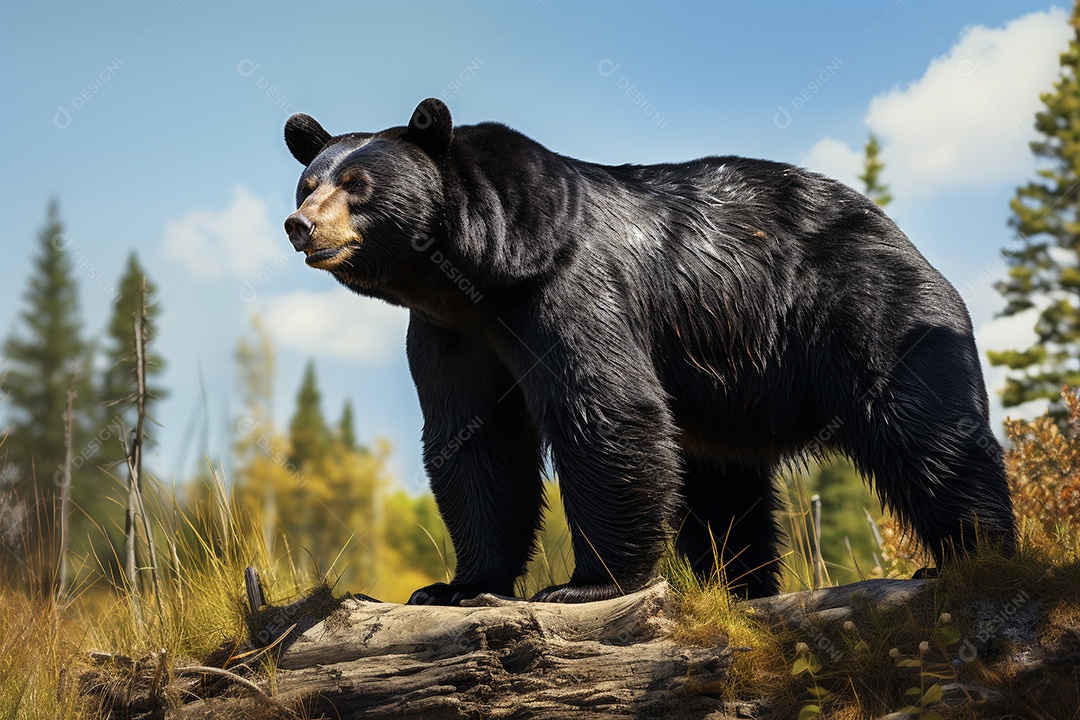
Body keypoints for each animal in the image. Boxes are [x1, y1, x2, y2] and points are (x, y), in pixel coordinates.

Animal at [282, 98, 1016, 603]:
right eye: (307, 184)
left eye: (358, 185)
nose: (299, 226)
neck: (482, 268)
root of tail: (899, 235)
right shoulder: (451, 331)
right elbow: (473, 439)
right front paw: (457, 584)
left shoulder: (567, 285)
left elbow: (604, 410)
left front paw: (587, 583)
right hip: (731, 394)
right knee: (722, 490)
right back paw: (739, 586)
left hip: (876, 316)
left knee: (929, 435)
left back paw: (973, 554)